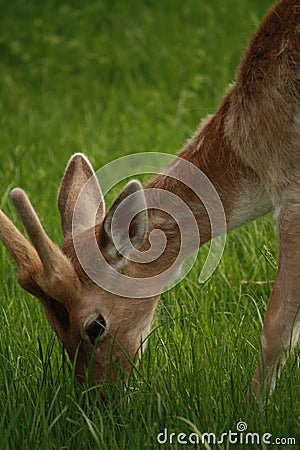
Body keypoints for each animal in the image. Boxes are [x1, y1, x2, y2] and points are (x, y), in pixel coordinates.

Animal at [0, 0, 300, 400]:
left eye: (94, 326)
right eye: (52, 322)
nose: (99, 398)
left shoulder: (292, 192)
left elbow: (275, 330)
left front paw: (253, 409)